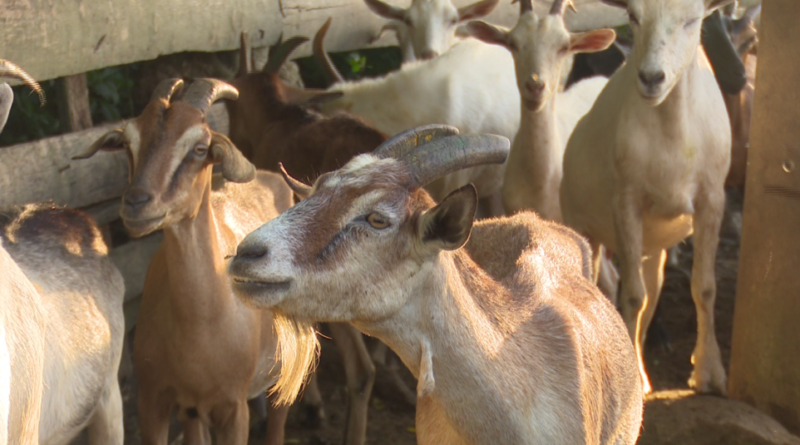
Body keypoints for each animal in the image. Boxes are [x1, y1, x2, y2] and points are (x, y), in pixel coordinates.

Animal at [74, 78, 317, 445]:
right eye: (129, 142)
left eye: (199, 148)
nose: (136, 203)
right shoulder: (154, 402)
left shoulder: (234, 409)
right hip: (192, 411)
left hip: (289, 369)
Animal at [560, 0, 735, 395]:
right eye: (634, 17)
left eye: (692, 20)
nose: (652, 78)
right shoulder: (626, 202)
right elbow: (632, 296)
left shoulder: (711, 198)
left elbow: (704, 287)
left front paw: (710, 372)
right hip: (582, 225)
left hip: (654, 246)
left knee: (653, 291)